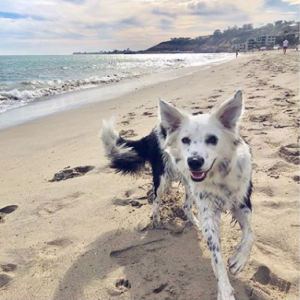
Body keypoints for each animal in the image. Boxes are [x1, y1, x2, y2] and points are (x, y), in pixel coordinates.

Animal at [101, 89, 253, 300]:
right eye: (185, 140)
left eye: (212, 139)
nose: (194, 161)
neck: (218, 175)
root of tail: (154, 130)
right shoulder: (209, 212)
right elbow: (216, 255)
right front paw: (225, 290)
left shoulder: (242, 200)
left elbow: (250, 234)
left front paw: (238, 258)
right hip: (163, 177)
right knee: (156, 198)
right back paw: (156, 219)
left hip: (189, 184)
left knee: (185, 204)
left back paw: (193, 222)